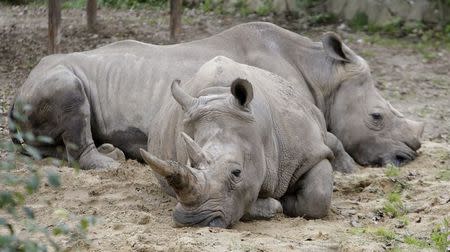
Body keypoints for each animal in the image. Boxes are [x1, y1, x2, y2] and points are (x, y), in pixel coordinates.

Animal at [10, 22, 424, 171]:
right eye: (376, 117)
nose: (410, 154)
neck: (324, 75)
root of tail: (18, 91)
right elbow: (333, 138)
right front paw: (350, 169)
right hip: (53, 78)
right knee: (70, 93)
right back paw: (112, 164)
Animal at [139, 56, 336, 226]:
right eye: (190, 164)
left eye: (237, 173)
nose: (193, 220)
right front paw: (273, 205)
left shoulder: (311, 152)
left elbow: (318, 196)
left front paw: (285, 200)